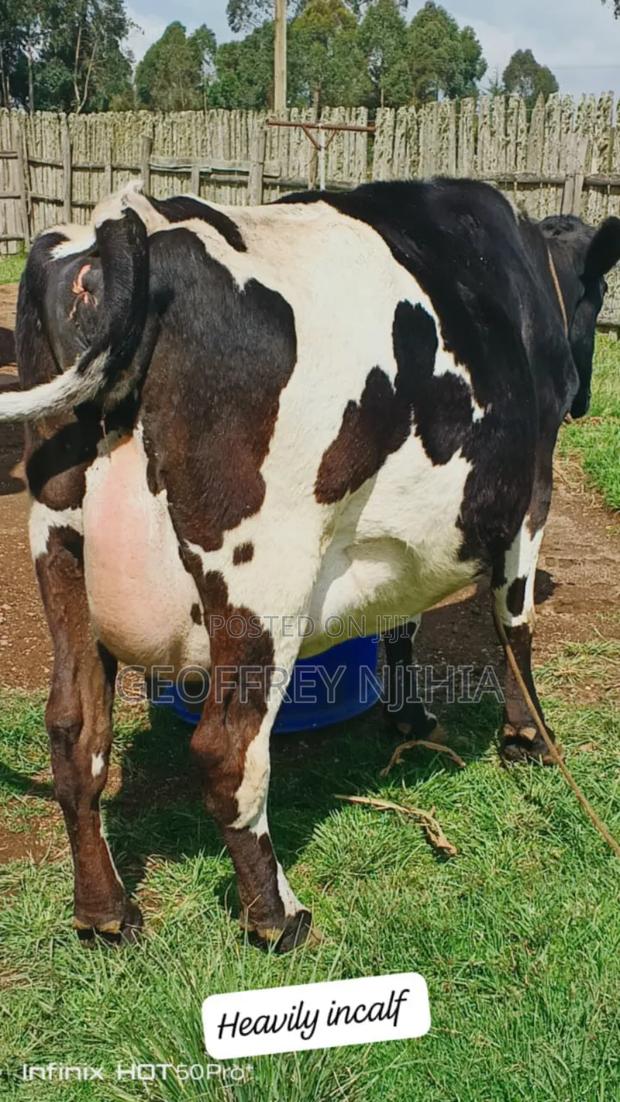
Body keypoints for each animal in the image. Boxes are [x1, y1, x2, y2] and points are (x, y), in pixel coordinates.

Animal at [1, 179, 618, 952]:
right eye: (600, 292)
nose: (586, 397)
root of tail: (123, 228)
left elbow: (401, 622)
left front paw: (409, 717)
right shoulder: (531, 494)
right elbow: (515, 629)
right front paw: (529, 737)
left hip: (59, 549)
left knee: (75, 734)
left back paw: (107, 912)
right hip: (262, 576)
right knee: (227, 751)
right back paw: (277, 917)